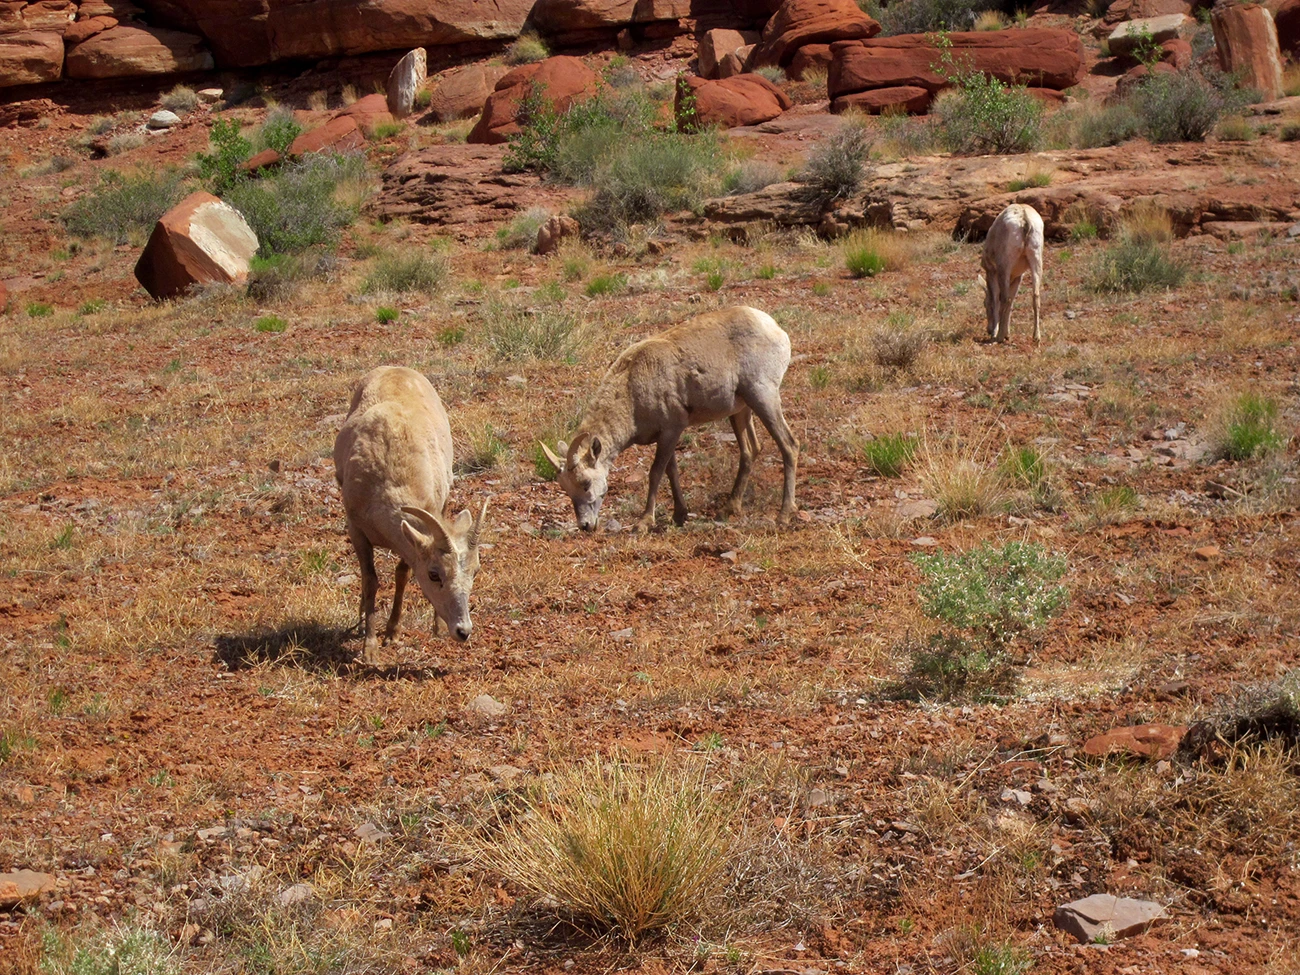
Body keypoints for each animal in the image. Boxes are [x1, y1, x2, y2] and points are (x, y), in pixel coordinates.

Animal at [333, 366, 488, 663]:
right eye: (434, 574)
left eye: (476, 571)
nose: (463, 631)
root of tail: (396, 368)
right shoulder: (356, 530)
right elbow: (370, 581)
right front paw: (369, 649)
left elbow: (402, 573)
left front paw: (393, 634)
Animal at [540, 305, 798, 532]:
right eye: (565, 488)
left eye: (585, 483)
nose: (585, 525)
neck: (631, 388)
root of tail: (777, 330)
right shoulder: (665, 436)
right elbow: (670, 470)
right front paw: (679, 515)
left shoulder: (672, 429)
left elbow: (656, 472)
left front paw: (644, 522)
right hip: (741, 410)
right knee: (750, 450)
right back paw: (729, 509)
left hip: (763, 396)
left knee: (789, 445)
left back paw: (784, 515)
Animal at [980, 203, 1045, 344]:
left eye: (985, 303)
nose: (988, 330)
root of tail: (1024, 219)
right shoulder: (1017, 277)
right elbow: (1012, 301)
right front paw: (1007, 334)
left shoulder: (992, 272)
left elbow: (996, 299)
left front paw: (997, 333)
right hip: (1036, 259)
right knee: (1036, 295)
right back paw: (1036, 336)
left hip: (1005, 265)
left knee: (1004, 298)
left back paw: (999, 337)